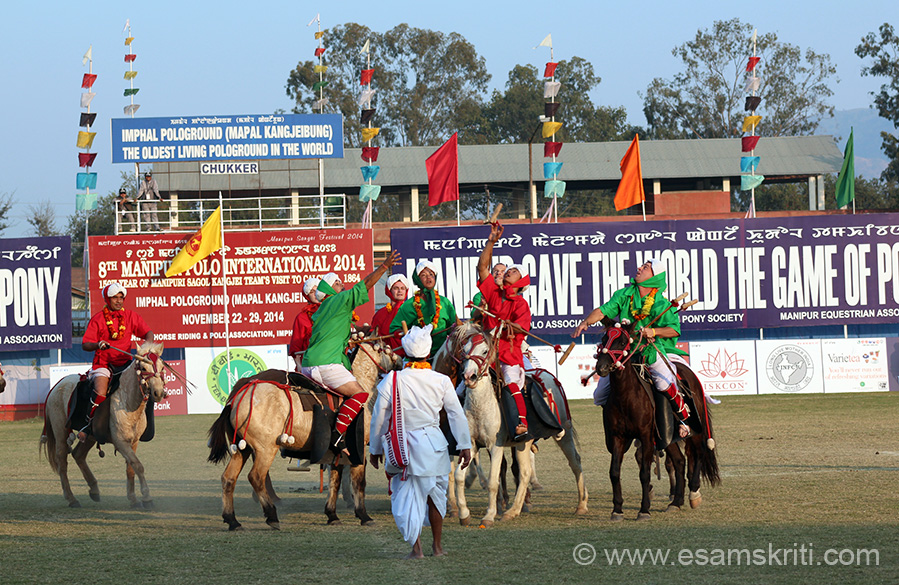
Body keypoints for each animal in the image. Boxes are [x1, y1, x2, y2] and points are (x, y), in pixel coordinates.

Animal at [39, 340, 169, 508]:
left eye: (161, 367)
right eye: (143, 368)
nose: (158, 393)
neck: (127, 401)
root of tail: (57, 385)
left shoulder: (133, 442)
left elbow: (131, 468)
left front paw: (133, 499)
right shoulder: (121, 442)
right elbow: (138, 465)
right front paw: (147, 498)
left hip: (90, 436)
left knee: (78, 454)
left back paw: (94, 489)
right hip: (60, 431)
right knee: (62, 461)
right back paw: (71, 498)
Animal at [209, 338, 400, 528]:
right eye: (386, 348)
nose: (399, 361)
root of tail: (238, 397)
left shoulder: (337, 452)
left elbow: (335, 481)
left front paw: (332, 514)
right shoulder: (357, 448)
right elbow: (359, 482)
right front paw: (363, 515)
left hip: (242, 449)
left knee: (228, 478)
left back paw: (232, 520)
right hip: (266, 449)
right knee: (256, 477)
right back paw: (271, 514)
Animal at [438, 322, 592, 528]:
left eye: (485, 350)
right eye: (464, 350)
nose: (469, 376)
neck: (481, 405)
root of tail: (549, 376)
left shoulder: (495, 446)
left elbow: (493, 481)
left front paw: (488, 516)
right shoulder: (470, 445)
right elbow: (459, 477)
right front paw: (463, 513)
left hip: (564, 433)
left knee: (575, 462)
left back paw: (581, 505)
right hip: (523, 443)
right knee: (525, 472)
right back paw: (513, 511)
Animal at [592, 320, 724, 520]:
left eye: (622, 342)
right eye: (603, 339)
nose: (602, 368)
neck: (625, 396)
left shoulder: (646, 436)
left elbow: (644, 473)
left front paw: (644, 509)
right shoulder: (618, 437)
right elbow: (614, 472)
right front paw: (617, 509)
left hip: (694, 428)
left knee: (699, 451)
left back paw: (693, 493)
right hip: (668, 435)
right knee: (679, 461)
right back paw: (676, 502)